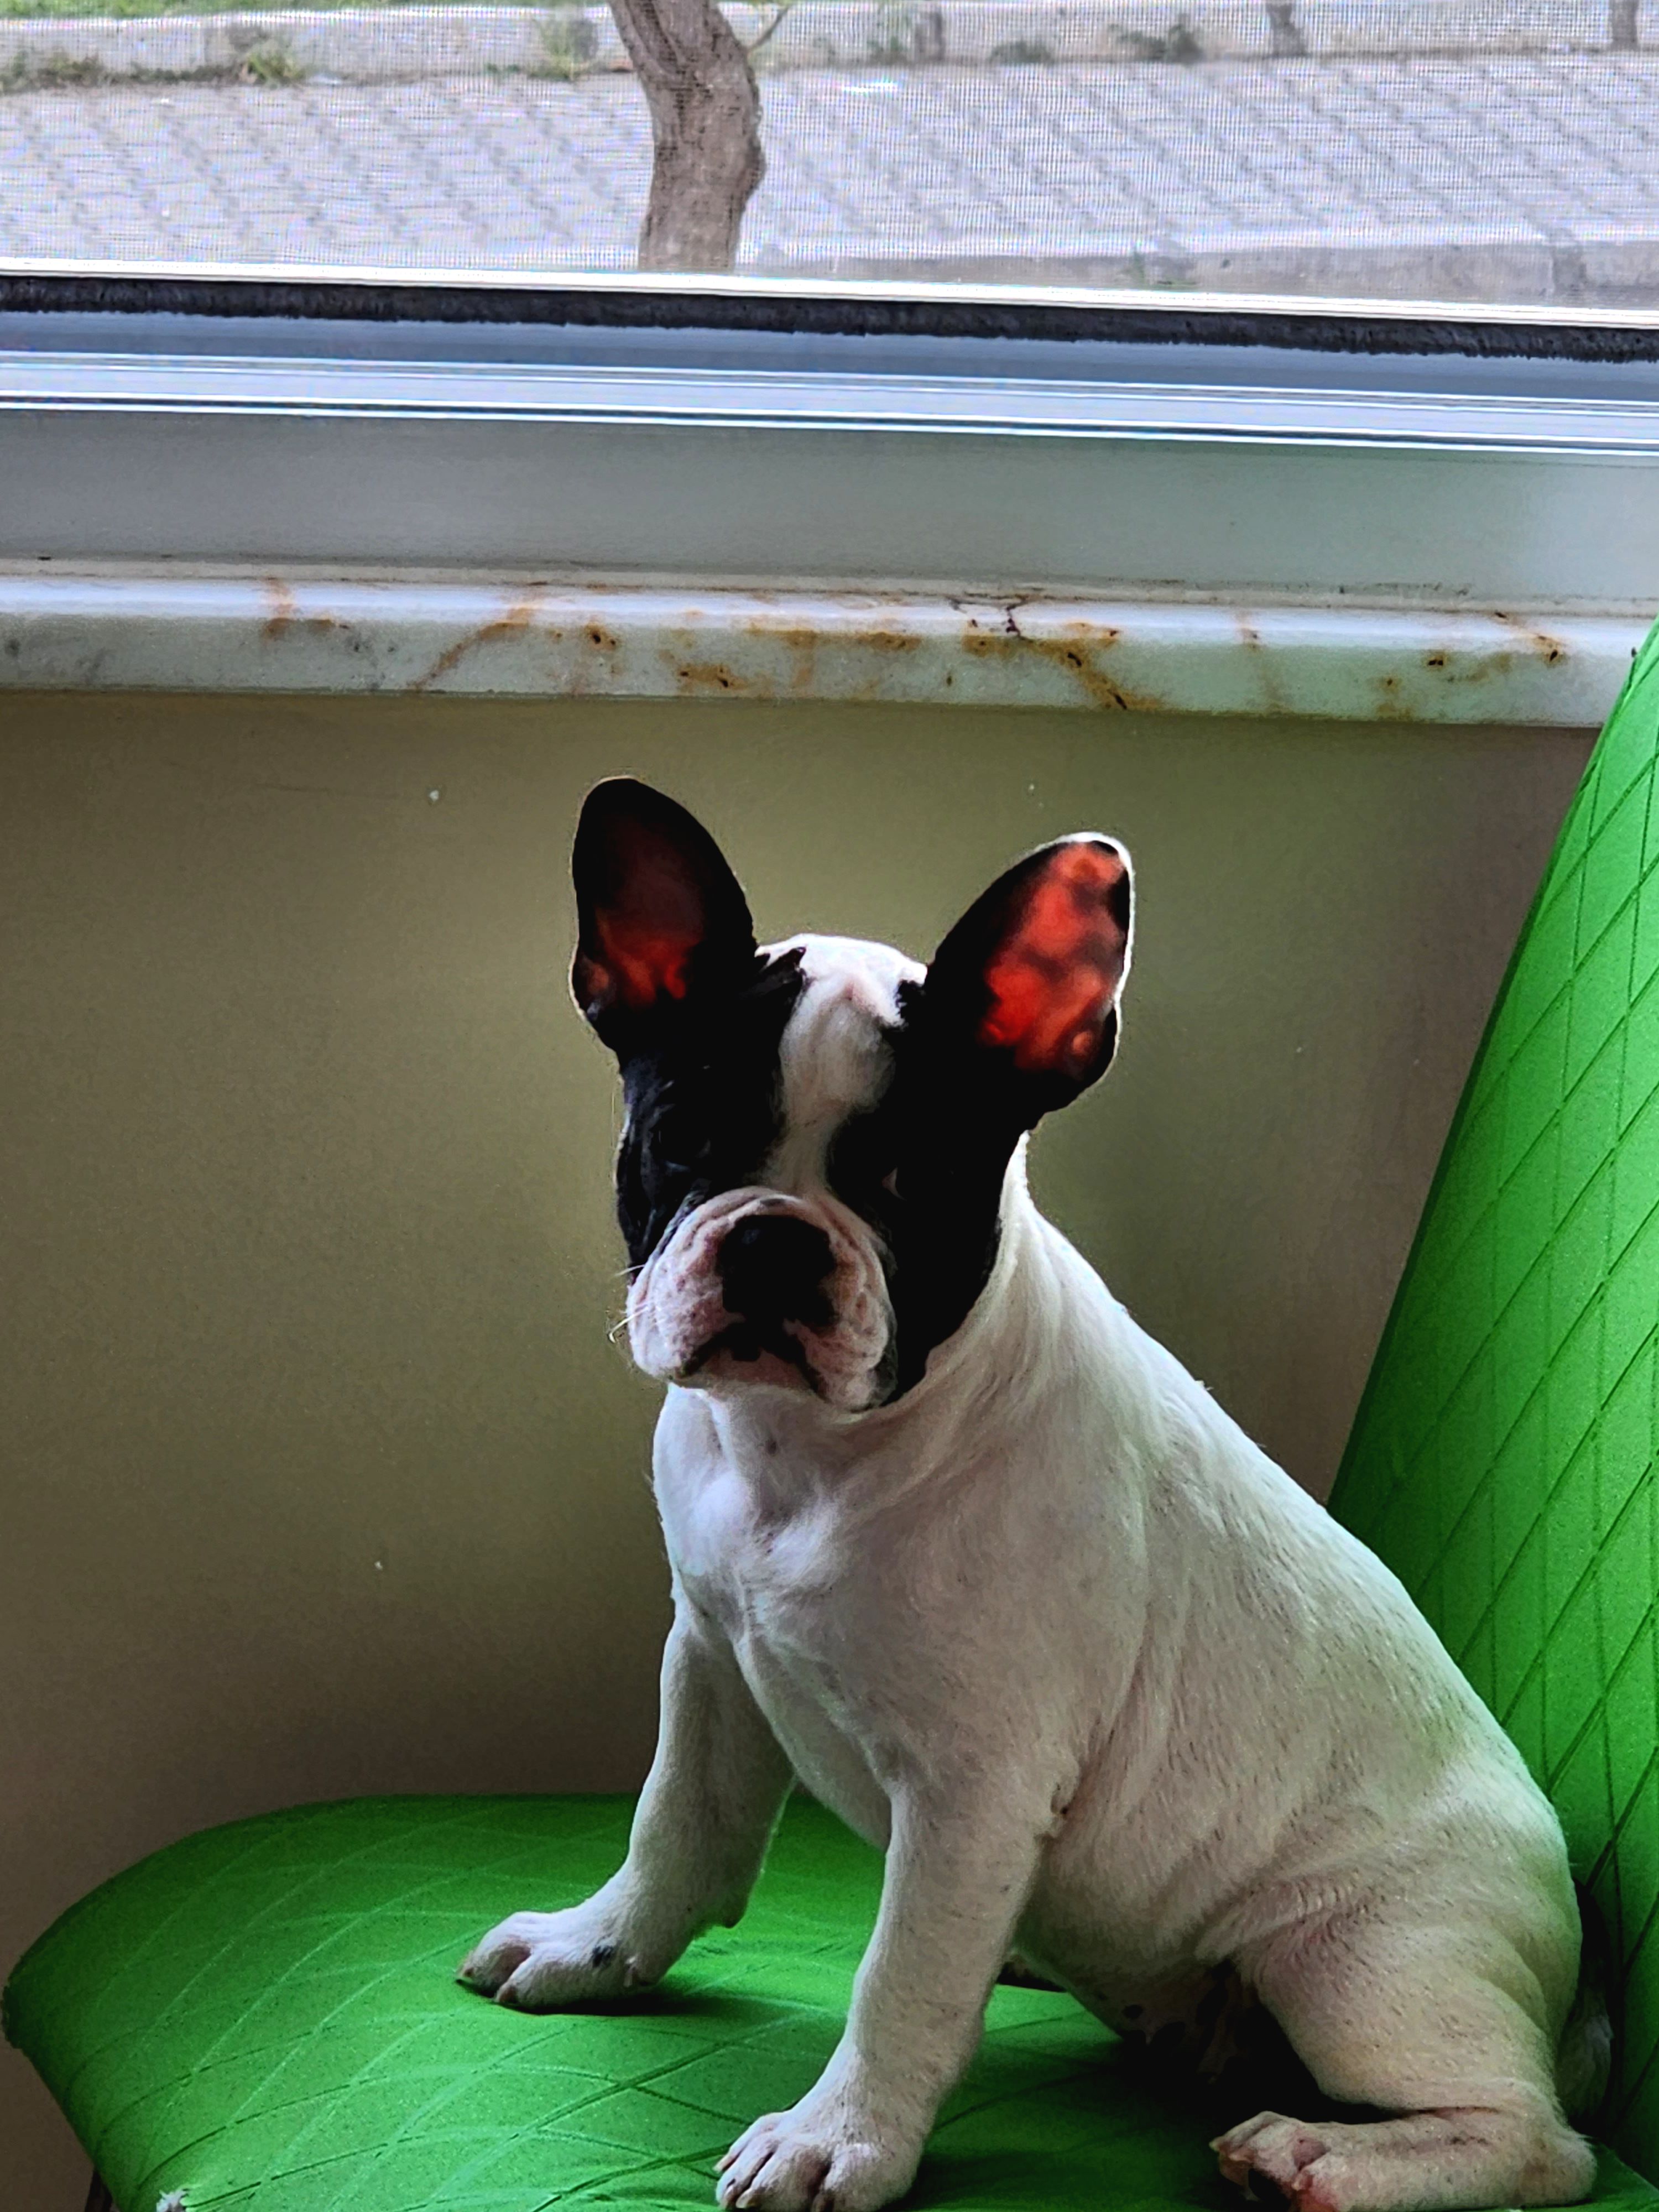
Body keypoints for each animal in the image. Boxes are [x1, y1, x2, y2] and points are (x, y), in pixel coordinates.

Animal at [461, 777, 1602, 2212]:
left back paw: (1326, 2155)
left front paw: (840, 2134)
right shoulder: (712, 1658)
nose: (774, 1235)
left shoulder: (974, 1788)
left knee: (1533, 2139)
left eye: (914, 1181)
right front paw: (598, 1945)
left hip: (1359, 1960)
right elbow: (677, 1824)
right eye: (679, 1140)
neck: (813, 1453)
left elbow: (901, 1974)